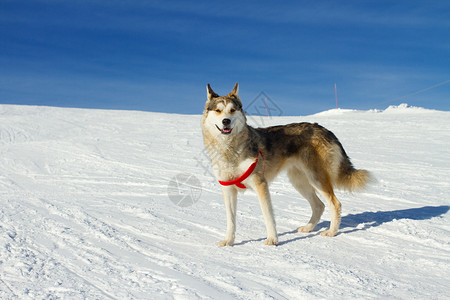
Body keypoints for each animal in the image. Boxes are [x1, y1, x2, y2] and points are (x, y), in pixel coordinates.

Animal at [202, 82, 370, 246]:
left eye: (232, 110)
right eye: (218, 110)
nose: (226, 121)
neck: (229, 150)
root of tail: (324, 129)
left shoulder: (261, 185)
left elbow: (268, 216)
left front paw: (272, 239)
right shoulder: (228, 188)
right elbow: (231, 220)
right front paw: (228, 241)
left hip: (317, 179)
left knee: (335, 204)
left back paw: (332, 231)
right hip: (300, 182)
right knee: (319, 205)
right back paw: (308, 228)